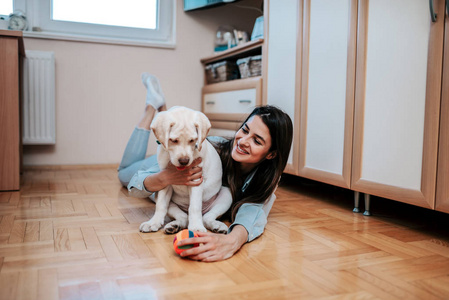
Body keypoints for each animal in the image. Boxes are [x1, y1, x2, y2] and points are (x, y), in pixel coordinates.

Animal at [139, 105, 231, 234]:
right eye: (173, 140)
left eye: (192, 140)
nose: (184, 161)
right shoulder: (165, 179)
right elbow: (161, 205)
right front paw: (153, 222)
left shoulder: (196, 180)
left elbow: (195, 207)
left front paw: (196, 227)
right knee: (184, 217)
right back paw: (174, 226)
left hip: (226, 194)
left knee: (206, 217)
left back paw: (217, 225)